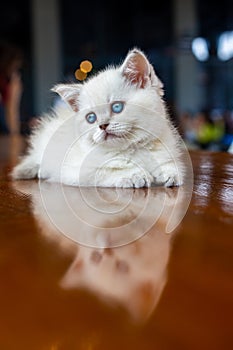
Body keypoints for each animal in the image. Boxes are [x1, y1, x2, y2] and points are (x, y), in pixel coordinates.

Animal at [11, 48, 186, 189]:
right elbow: (106, 173)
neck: (132, 149)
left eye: (117, 107)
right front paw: (135, 175)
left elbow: (170, 165)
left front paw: (170, 174)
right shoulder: (77, 171)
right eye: (91, 118)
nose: (102, 125)